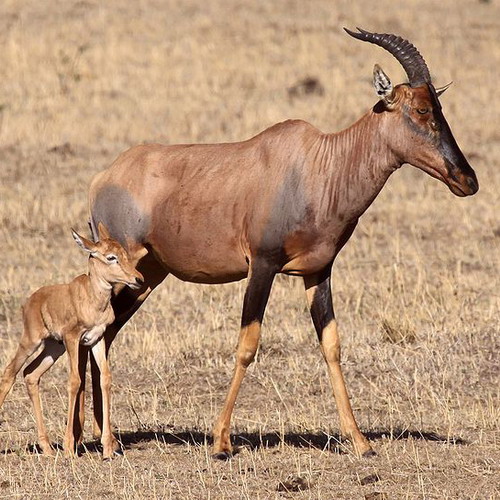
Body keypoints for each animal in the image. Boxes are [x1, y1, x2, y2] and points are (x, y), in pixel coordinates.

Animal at [88, 26, 478, 458]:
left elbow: (332, 345)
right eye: (422, 111)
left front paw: (360, 441)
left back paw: (100, 432)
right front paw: (221, 442)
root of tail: (105, 176)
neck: (319, 165)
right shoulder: (262, 265)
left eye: (439, 107)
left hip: (148, 276)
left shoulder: (319, 272)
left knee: (106, 334)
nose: (468, 180)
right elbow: (247, 344)